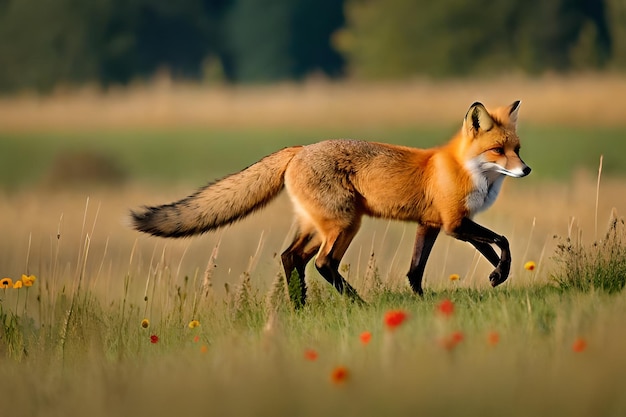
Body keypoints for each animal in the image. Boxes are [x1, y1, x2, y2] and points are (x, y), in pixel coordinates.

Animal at [130, 100, 528, 302]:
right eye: (498, 150)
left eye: (518, 149)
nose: (526, 170)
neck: (467, 171)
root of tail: (299, 148)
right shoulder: (453, 223)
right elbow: (503, 241)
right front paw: (499, 274)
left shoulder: (433, 224)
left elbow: (420, 268)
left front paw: (491, 277)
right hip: (345, 224)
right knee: (323, 263)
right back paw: (358, 305)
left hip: (319, 225)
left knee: (291, 257)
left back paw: (299, 308)